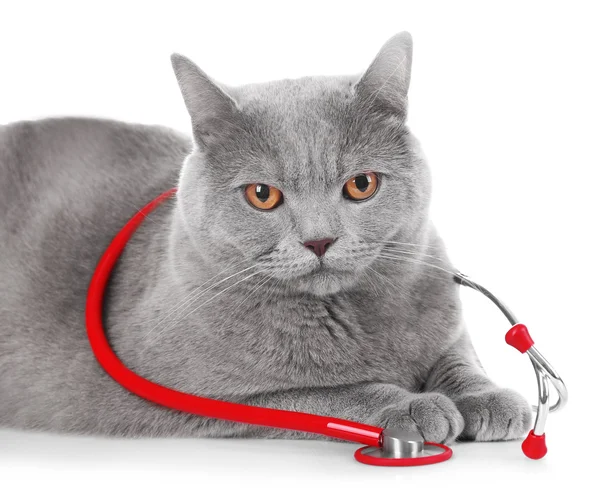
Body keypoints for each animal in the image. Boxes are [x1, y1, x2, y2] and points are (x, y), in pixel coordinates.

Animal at [0, 33, 532, 446]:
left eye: (361, 185)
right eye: (262, 195)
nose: (319, 240)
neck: (352, 317)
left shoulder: (441, 301)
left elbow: (458, 355)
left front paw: (490, 398)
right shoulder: (205, 397)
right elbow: (328, 394)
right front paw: (411, 407)